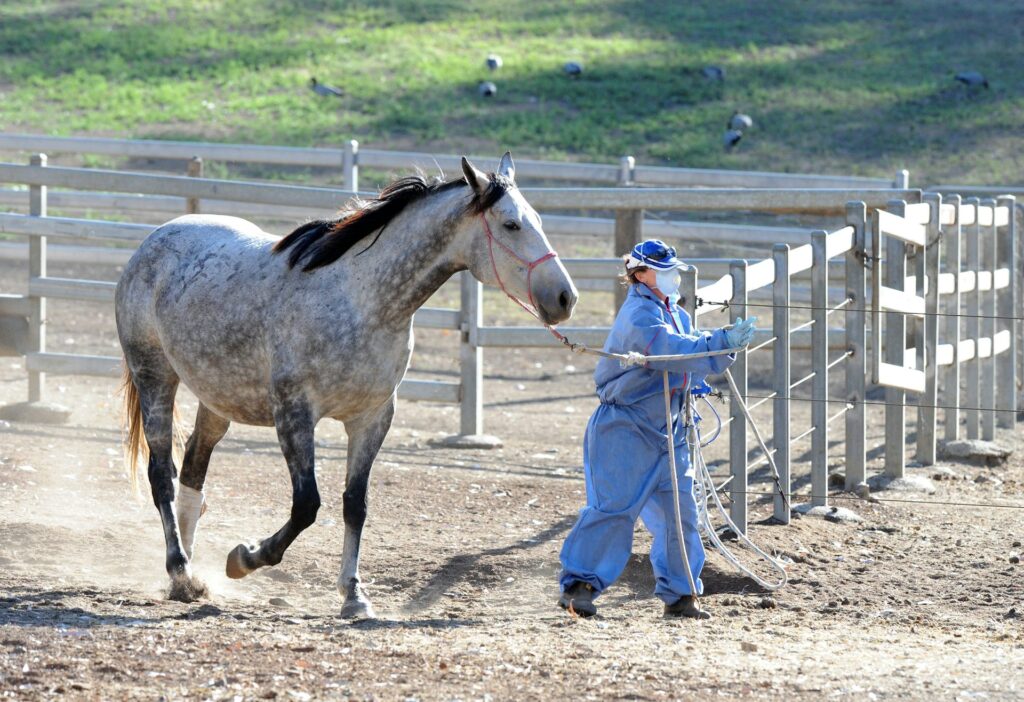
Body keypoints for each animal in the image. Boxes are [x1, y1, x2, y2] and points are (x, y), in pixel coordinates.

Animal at [115, 153, 578, 617]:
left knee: (194, 466)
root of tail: (154, 241)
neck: (363, 301)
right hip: (155, 376)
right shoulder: (295, 414)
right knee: (162, 473)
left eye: (536, 219)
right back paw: (180, 571)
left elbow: (355, 504)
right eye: (511, 225)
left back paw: (189, 569)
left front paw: (354, 594)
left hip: (218, 399)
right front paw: (245, 557)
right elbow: (307, 505)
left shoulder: (372, 418)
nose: (565, 297)